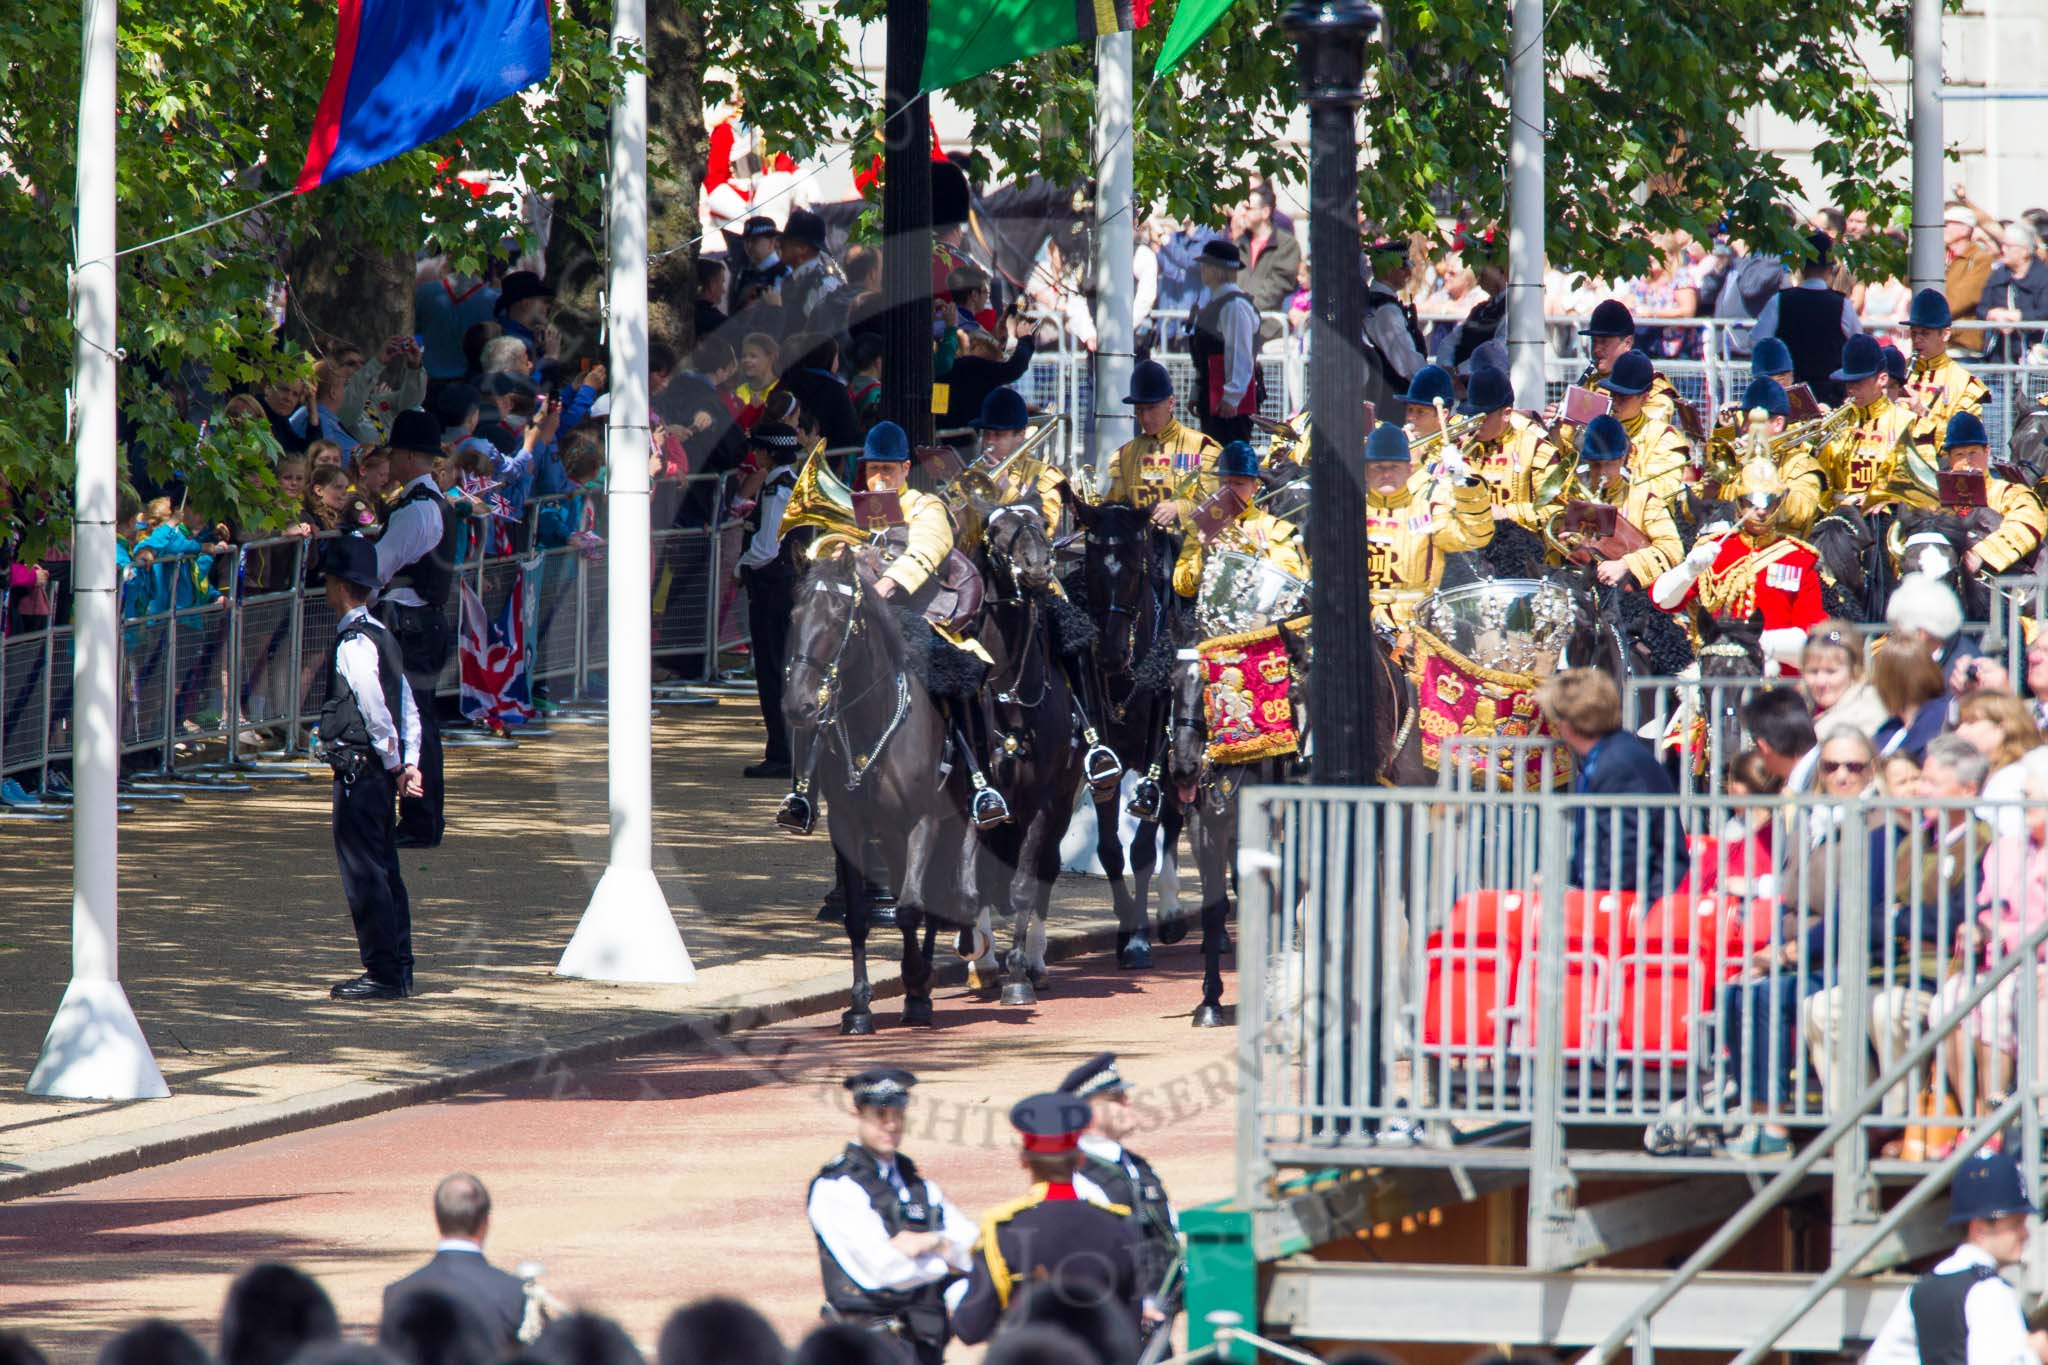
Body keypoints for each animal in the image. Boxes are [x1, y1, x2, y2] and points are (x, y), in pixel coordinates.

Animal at [782, 544, 974, 1035]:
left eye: (838, 619)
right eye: (794, 614)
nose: (798, 706)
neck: (874, 719)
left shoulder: (923, 821)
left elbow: (908, 907)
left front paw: (917, 979)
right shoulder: (848, 828)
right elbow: (857, 916)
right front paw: (860, 1006)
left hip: (957, 817)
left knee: (950, 892)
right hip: (890, 836)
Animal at [966, 501, 1097, 1002]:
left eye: (1041, 523)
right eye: (997, 530)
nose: (1040, 567)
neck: (1009, 692)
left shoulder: (1043, 799)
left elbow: (1024, 883)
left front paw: (1018, 974)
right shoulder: (981, 798)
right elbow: (976, 881)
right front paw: (982, 961)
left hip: (1061, 801)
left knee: (1045, 868)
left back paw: (1035, 961)